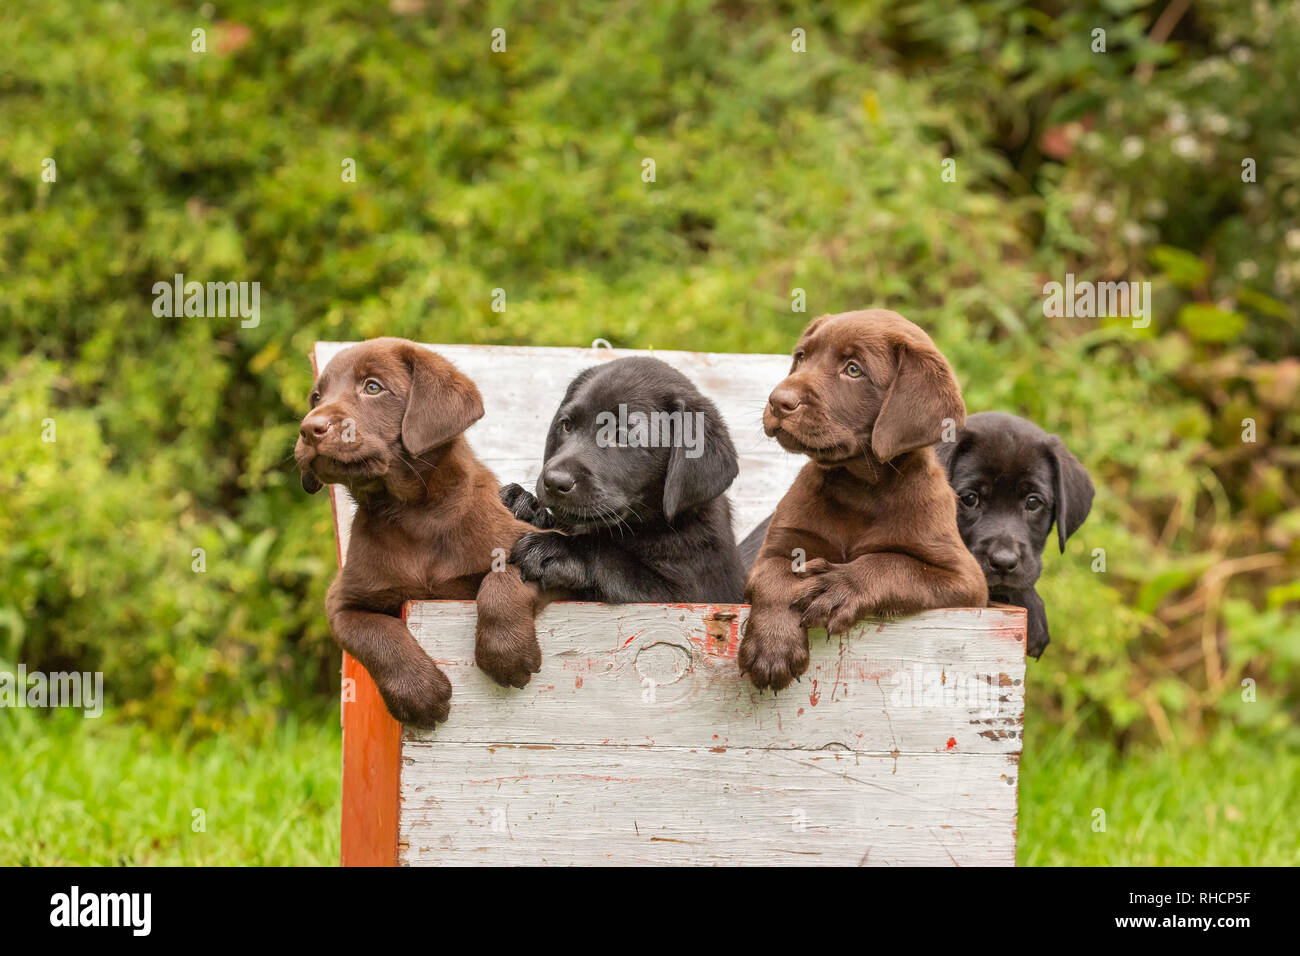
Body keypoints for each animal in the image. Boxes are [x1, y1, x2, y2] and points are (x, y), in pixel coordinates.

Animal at [499, 356, 748, 600]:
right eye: (566, 425)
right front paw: (526, 506)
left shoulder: (685, 595)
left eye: (622, 436)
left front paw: (559, 549)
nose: (554, 482)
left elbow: (613, 560)